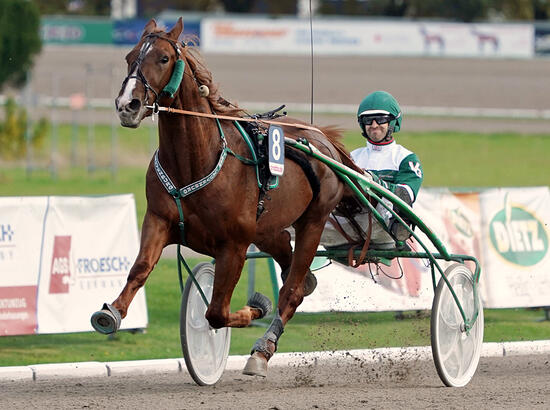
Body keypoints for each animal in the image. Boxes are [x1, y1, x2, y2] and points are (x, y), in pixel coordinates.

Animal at [91, 18, 358, 378]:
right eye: (129, 56)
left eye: (163, 58)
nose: (127, 105)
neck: (196, 161)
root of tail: (321, 137)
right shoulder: (158, 219)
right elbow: (141, 267)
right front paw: (112, 312)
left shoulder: (233, 245)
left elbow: (216, 312)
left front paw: (256, 307)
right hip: (268, 228)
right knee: (299, 276)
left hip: (312, 222)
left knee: (292, 290)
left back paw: (262, 350)